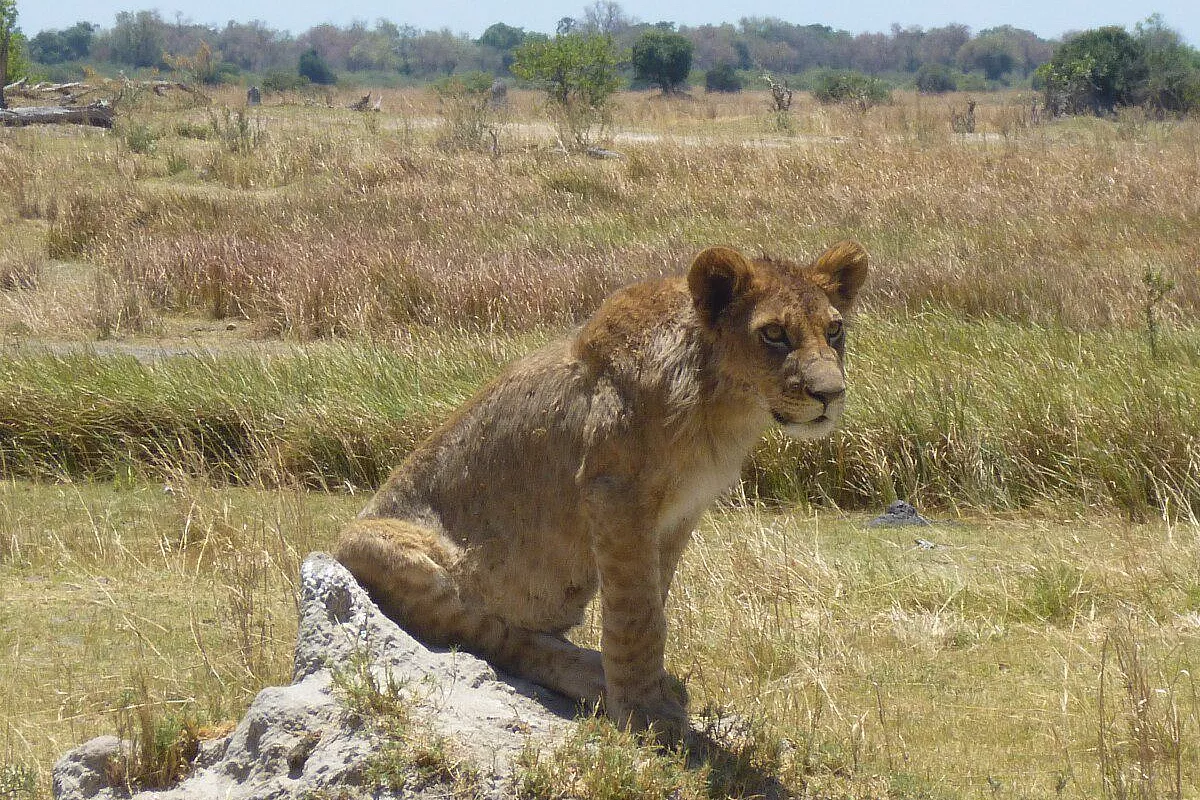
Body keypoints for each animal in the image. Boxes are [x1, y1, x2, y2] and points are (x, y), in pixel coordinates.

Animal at [336, 241, 868, 736]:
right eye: (774, 333)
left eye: (834, 330)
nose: (831, 394)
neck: (720, 406)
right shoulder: (614, 493)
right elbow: (636, 614)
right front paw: (643, 712)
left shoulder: (680, 512)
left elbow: (654, 600)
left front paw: (649, 690)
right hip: (369, 544)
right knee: (493, 636)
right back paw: (587, 676)